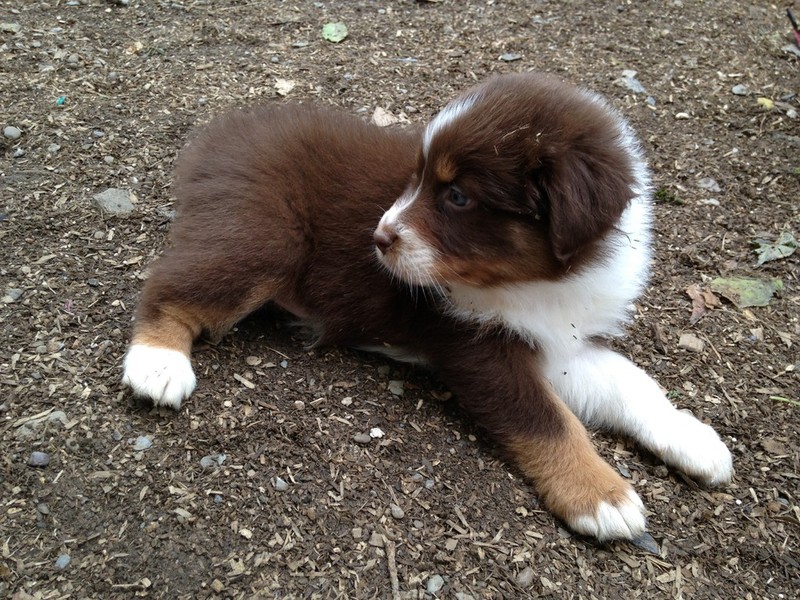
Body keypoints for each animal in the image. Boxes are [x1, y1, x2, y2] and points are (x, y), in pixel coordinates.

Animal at [122, 72, 733, 541]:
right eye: (419, 179)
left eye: (457, 196)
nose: (377, 238)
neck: (535, 282)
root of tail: (220, 135)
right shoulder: (476, 345)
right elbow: (547, 420)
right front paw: (601, 495)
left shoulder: (564, 341)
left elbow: (632, 385)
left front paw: (692, 438)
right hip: (264, 234)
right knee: (168, 287)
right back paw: (158, 363)